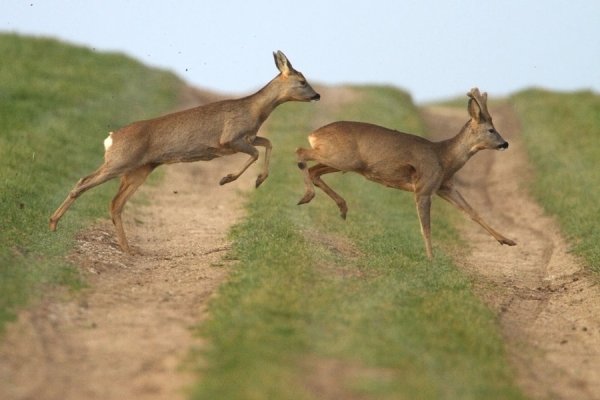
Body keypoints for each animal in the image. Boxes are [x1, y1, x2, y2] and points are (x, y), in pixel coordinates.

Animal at [49, 50, 322, 253]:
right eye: (302, 81)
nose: (317, 95)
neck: (255, 111)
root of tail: (111, 138)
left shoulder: (248, 137)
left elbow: (268, 143)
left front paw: (259, 179)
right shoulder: (229, 139)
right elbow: (256, 152)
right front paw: (227, 179)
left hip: (138, 170)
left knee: (115, 203)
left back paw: (127, 248)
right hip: (120, 162)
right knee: (83, 183)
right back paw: (53, 224)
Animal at [296, 86, 516, 260]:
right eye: (491, 130)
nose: (505, 143)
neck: (444, 158)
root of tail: (314, 134)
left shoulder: (444, 186)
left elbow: (471, 211)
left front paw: (507, 240)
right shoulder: (424, 188)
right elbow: (426, 227)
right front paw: (431, 258)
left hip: (342, 162)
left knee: (314, 171)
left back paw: (341, 207)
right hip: (341, 158)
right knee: (301, 152)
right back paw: (307, 196)